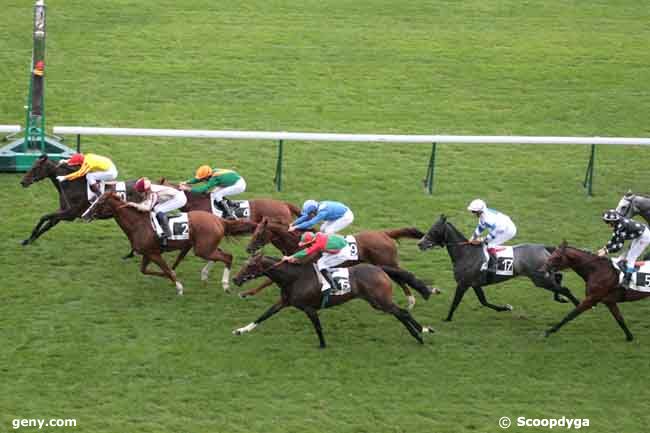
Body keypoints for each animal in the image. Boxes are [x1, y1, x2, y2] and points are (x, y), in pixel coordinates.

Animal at [85, 192, 256, 294]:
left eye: (99, 203)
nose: (85, 215)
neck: (138, 224)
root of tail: (219, 220)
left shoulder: (154, 253)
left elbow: (166, 270)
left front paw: (179, 287)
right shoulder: (148, 253)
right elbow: (146, 270)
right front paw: (173, 277)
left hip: (202, 249)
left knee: (227, 257)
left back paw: (225, 284)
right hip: (204, 247)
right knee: (220, 255)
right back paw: (205, 275)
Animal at [230, 253, 432, 348]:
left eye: (249, 265)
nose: (235, 279)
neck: (294, 278)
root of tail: (379, 268)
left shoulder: (309, 308)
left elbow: (318, 326)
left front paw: (322, 344)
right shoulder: (284, 302)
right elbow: (263, 316)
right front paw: (241, 330)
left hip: (379, 301)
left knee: (402, 312)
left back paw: (421, 333)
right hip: (379, 302)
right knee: (400, 314)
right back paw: (421, 332)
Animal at [238, 216, 436, 308]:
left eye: (258, 233)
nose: (248, 249)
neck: (300, 243)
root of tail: (385, 233)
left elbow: (268, 279)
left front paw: (247, 292)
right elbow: (268, 278)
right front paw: (248, 292)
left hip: (387, 262)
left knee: (402, 277)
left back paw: (414, 299)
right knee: (401, 276)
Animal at [416, 215, 576, 320]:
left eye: (434, 230)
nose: (420, 244)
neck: (465, 253)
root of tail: (543, 247)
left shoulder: (463, 284)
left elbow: (455, 302)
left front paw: (447, 319)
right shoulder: (475, 284)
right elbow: (484, 301)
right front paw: (505, 308)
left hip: (539, 279)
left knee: (564, 288)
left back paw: (575, 303)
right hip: (544, 276)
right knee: (558, 277)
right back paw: (560, 298)